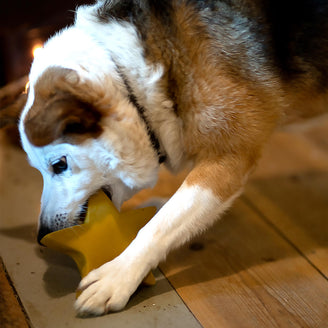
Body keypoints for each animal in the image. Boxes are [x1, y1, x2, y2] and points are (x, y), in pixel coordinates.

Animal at [19, 0, 328, 318]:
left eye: (59, 165)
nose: (42, 235)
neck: (131, 77)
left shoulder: (228, 159)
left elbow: (160, 225)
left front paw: (119, 274)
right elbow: (168, 211)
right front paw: (156, 206)